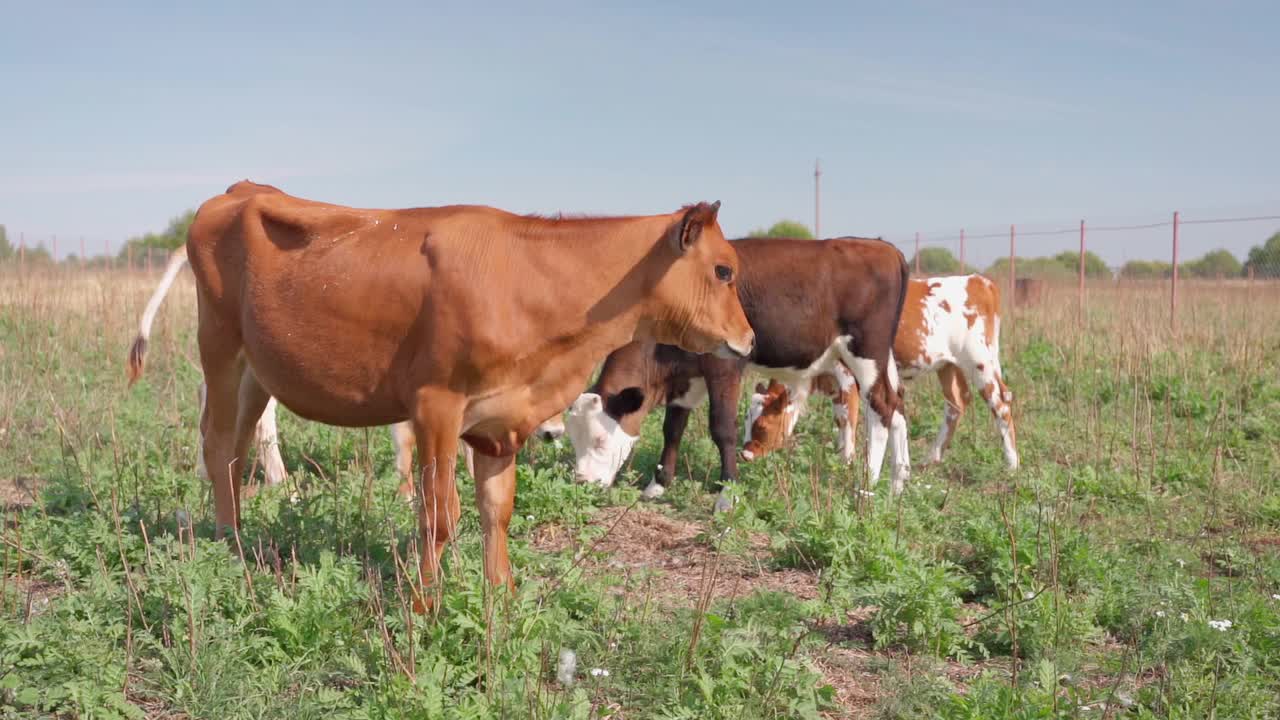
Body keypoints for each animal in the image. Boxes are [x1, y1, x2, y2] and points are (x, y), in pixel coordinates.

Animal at [563, 235, 911, 504]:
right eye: (573, 438)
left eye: (599, 440)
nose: (582, 482)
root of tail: (883, 247)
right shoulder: (687, 373)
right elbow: (672, 428)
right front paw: (657, 486)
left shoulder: (724, 364)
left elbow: (722, 428)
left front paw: (726, 493)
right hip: (880, 357)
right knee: (896, 407)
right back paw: (898, 484)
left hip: (865, 350)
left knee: (880, 406)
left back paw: (866, 485)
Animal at [742, 271, 1018, 468]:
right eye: (746, 421)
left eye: (762, 426)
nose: (745, 455)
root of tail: (979, 280)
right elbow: (839, 417)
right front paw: (840, 453)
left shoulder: (846, 376)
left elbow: (847, 417)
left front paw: (847, 460)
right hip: (947, 365)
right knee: (956, 403)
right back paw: (932, 458)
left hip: (980, 361)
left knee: (1000, 403)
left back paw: (1012, 464)